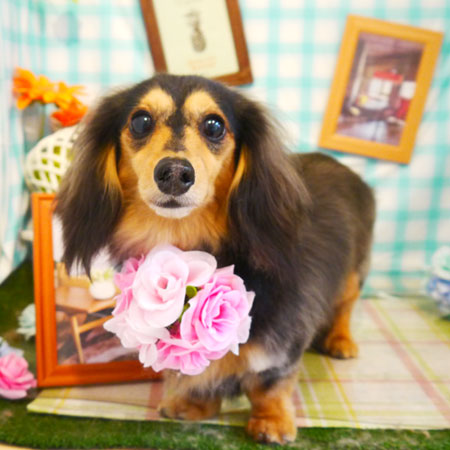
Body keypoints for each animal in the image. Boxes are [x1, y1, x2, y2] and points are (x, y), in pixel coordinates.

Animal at [56, 74, 375, 444]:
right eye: (140, 121)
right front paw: (195, 403)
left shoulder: (283, 330)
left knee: (344, 307)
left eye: (214, 125)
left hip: (353, 275)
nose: (175, 173)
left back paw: (341, 340)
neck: (187, 243)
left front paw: (272, 420)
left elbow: (271, 381)